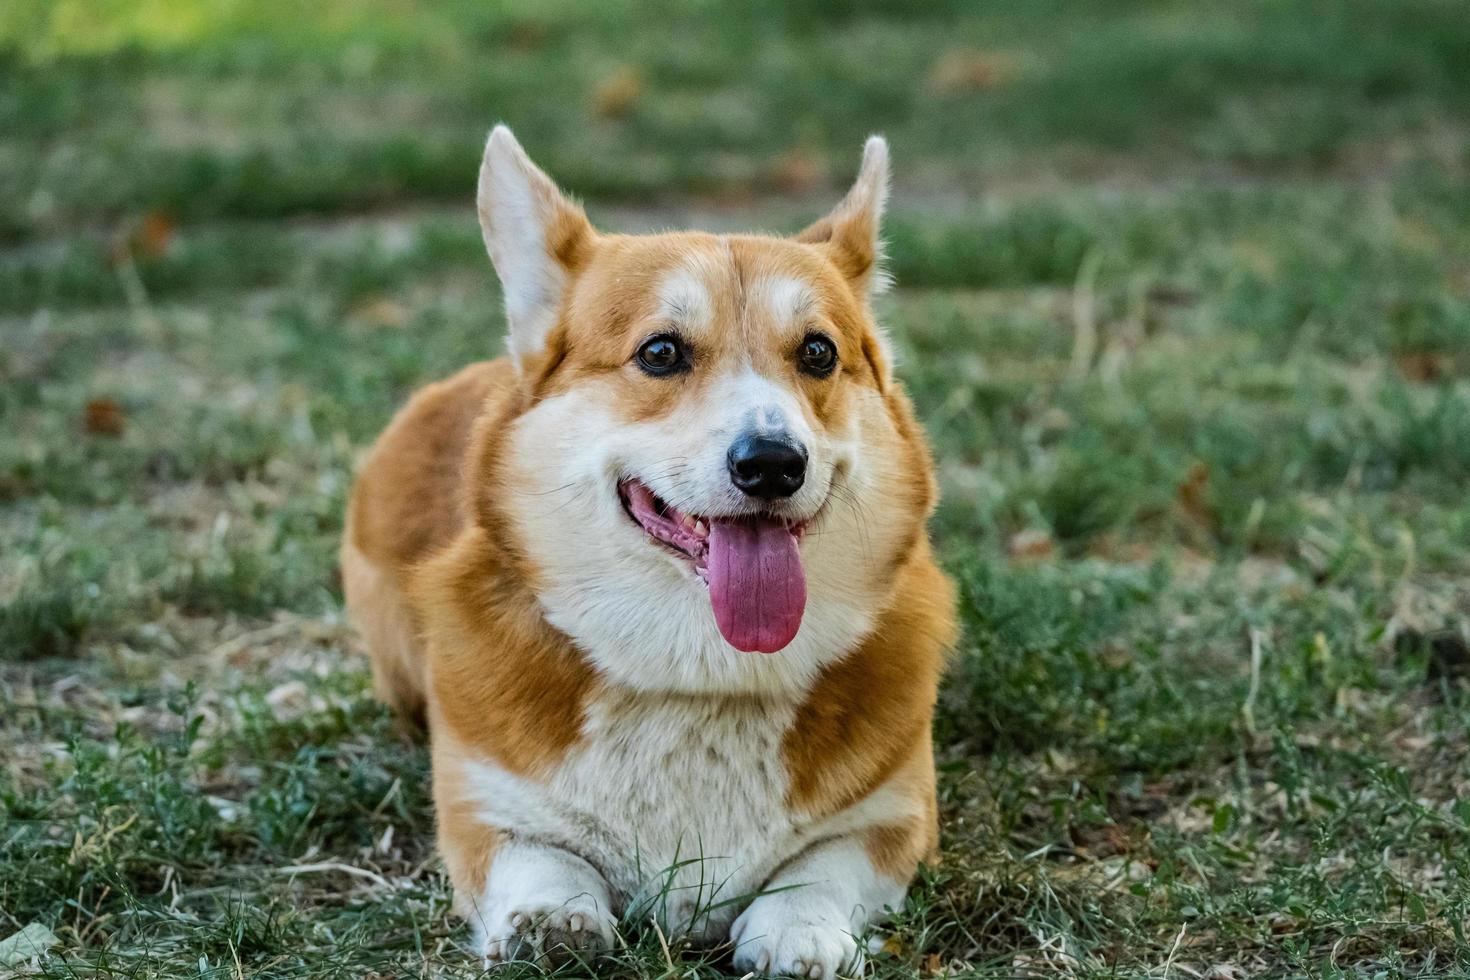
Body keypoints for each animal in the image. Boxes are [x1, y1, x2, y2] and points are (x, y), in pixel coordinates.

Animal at [345, 126, 964, 975]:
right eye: (662, 352)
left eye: (817, 353)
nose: (773, 462)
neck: (699, 680)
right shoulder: (482, 807)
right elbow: (537, 854)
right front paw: (553, 919)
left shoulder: (896, 816)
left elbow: (824, 869)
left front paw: (799, 932)